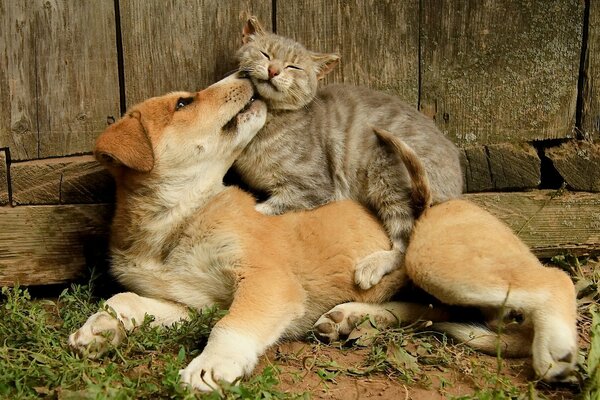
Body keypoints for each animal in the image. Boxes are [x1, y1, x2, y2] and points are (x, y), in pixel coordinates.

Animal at [68, 75, 410, 390]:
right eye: (183, 103)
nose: (245, 74)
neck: (175, 225)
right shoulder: (191, 303)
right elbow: (124, 298)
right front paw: (99, 329)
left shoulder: (266, 278)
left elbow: (231, 323)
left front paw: (211, 365)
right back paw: (349, 318)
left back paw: (353, 316)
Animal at [234, 18, 464, 290]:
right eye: (265, 53)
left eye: (293, 66)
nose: (273, 70)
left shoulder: (314, 187)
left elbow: (270, 206)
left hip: (388, 179)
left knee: (406, 245)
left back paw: (373, 265)